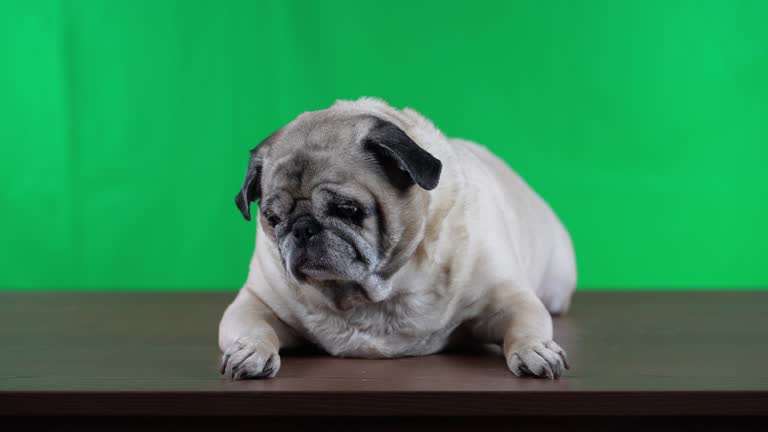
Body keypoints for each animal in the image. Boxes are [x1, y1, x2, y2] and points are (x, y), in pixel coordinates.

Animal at [219, 97, 572, 378]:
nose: (303, 228)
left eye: (347, 209)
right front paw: (249, 349)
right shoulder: (256, 302)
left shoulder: (506, 298)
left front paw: (534, 349)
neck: (372, 297)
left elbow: (524, 324)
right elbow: (254, 328)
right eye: (273, 220)